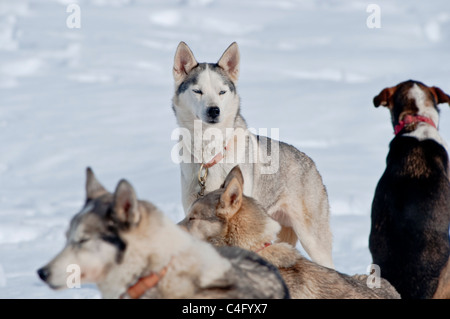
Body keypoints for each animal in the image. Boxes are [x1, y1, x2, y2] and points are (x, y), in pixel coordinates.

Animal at [172, 41, 334, 268]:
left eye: (222, 92)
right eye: (197, 91)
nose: (214, 110)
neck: (209, 155)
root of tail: (310, 162)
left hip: (314, 242)